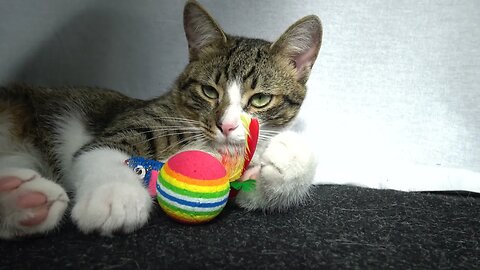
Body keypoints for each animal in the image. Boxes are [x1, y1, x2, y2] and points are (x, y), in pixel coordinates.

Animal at [0, 0, 322, 238]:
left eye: (260, 99)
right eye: (208, 91)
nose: (226, 125)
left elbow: (251, 194)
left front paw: (289, 158)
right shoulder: (135, 122)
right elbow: (99, 149)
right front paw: (115, 195)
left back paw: (23, 197)